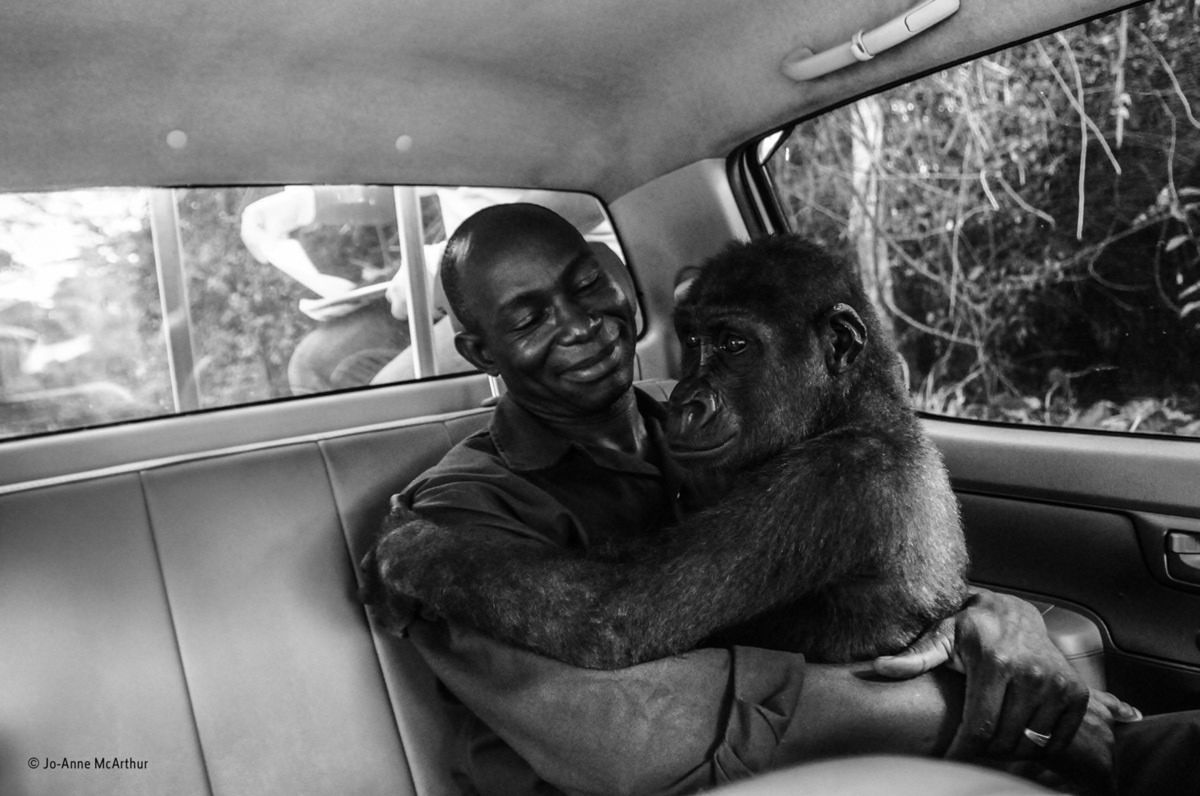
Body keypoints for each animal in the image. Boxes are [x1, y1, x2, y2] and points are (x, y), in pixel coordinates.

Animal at [374, 235, 964, 667]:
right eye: (694, 342)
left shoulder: (827, 482)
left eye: (733, 344)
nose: (685, 398)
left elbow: (615, 611)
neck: (851, 409)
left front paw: (418, 549)